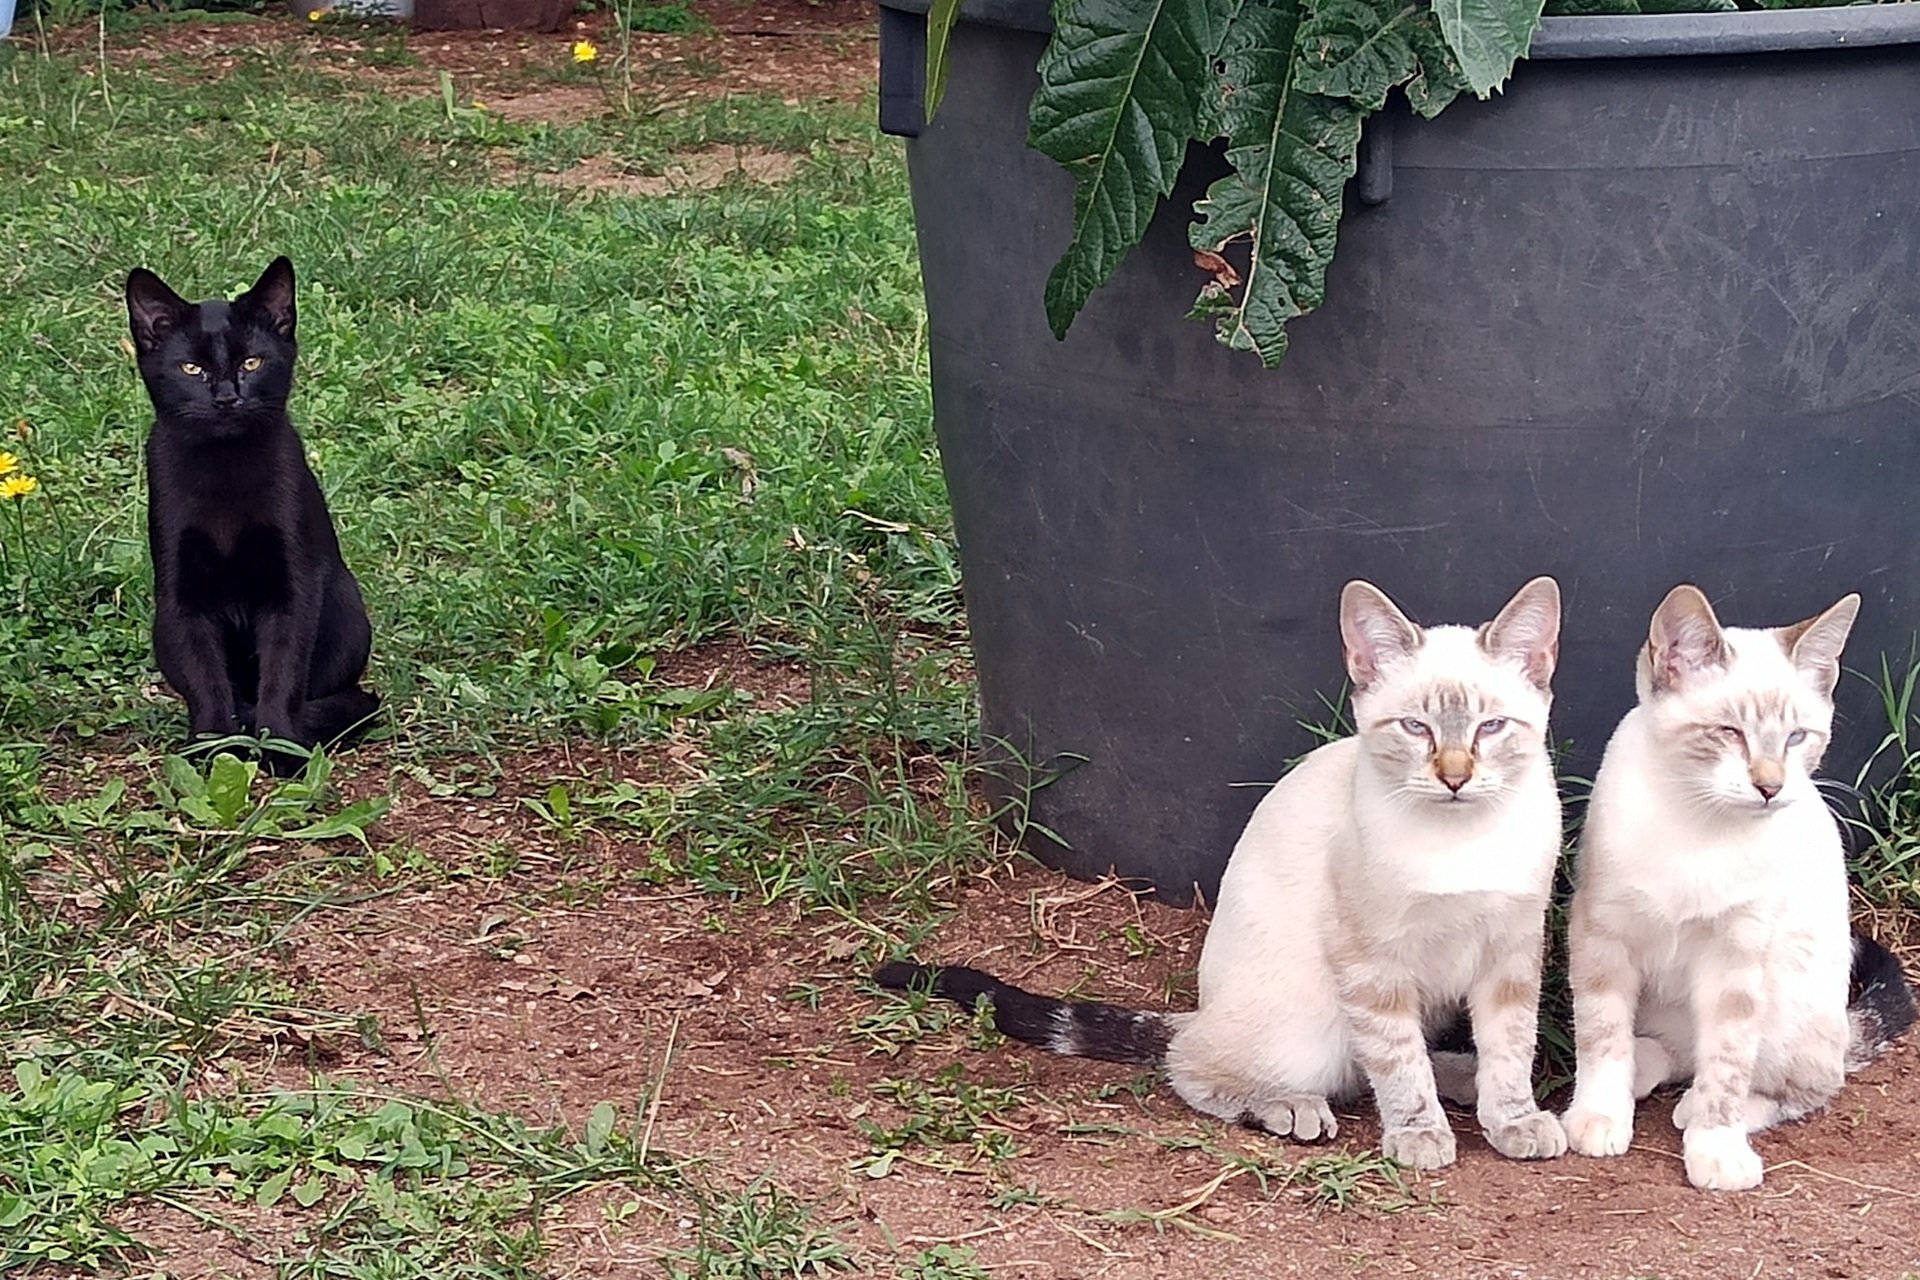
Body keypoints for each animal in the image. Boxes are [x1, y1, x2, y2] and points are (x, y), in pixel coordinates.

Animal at [126, 260, 378, 759]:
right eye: (191, 368)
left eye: (252, 363)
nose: (227, 397)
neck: (225, 470)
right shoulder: (182, 595)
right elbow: (205, 679)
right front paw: (212, 749)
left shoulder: (293, 585)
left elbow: (282, 673)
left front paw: (281, 747)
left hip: (346, 605)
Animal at [879, 579, 1566, 1174]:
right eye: (1416, 728)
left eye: (1491, 727)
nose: (1455, 777)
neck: (1463, 841)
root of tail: (1201, 1011)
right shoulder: (1371, 964)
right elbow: (1397, 1065)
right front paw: (1419, 1133)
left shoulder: (1513, 953)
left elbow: (1508, 1048)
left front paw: (1513, 1119)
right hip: (1307, 1028)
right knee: (1196, 1063)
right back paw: (1288, 1105)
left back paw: (1461, 1077)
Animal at [1566, 587, 1912, 1197]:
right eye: (1728, 732)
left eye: (1797, 738)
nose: (1770, 787)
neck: (1696, 822)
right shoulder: (1601, 934)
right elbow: (1601, 1036)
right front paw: (1600, 1113)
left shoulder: (1736, 955)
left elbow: (1727, 1062)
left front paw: (1716, 1147)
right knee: (1672, 1053)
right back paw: (1645, 1068)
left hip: (1792, 1001)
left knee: (1804, 1087)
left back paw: (1698, 1108)